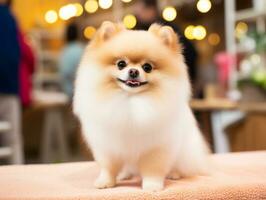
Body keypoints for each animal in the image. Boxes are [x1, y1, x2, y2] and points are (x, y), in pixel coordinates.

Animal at [73, 21, 210, 191]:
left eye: (147, 67)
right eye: (121, 64)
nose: (133, 71)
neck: (131, 102)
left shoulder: (156, 147)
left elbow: (153, 168)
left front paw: (152, 185)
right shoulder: (108, 145)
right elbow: (108, 167)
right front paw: (105, 181)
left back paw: (174, 173)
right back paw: (124, 174)